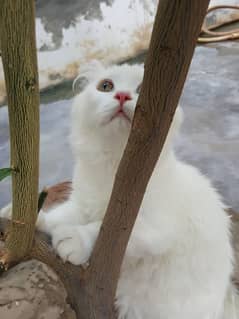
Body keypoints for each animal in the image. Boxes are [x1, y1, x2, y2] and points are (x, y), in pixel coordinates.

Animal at [0, 62, 238, 319]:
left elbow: (99, 231)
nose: (123, 96)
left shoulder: (153, 227)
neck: (114, 166)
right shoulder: (81, 204)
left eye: (141, 89)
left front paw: (75, 240)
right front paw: (23, 218)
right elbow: (57, 217)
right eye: (106, 86)